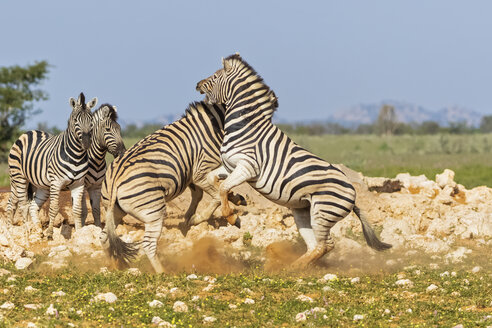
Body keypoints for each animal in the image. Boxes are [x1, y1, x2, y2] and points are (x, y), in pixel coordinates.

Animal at [6, 92, 96, 238]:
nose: (86, 143)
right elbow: (54, 208)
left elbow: (77, 210)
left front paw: (79, 233)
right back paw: (22, 231)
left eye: (91, 120)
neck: (76, 156)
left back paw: (33, 230)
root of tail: (28, 132)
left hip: (40, 185)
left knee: (28, 205)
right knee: (20, 204)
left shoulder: (78, 184)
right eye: (75, 120)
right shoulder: (56, 182)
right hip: (18, 178)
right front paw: (49, 233)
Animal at [100, 101, 246, 272]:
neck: (213, 127)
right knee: (148, 244)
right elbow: (216, 194)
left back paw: (115, 267)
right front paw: (201, 219)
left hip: (114, 211)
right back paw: (163, 273)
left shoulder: (192, 174)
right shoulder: (200, 171)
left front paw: (235, 199)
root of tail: (114, 180)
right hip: (154, 211)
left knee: (104, 238)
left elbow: (207, 192)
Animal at [196, 54, 392, 270]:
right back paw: (291, 268)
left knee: (326, 244)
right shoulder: (229, 165)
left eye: (215, 76)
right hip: (303, 212)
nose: (198, 84)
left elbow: (223, 187)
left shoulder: (248, 166)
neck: (246, 126)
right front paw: (231, 201)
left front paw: (232, 217)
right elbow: (214, 181)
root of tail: (353, 194)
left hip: (322, 213)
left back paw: (291, 268)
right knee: (314, 246)